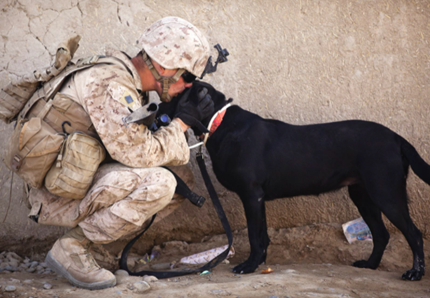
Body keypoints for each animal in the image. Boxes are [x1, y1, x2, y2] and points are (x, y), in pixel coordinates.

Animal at [160, 81, 428, 280]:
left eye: (177, 94)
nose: (156, 104)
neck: (220, 122)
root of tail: (396, 137)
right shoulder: (258, 198)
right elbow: (263, 235)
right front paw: (260, 262)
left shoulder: (251, 195)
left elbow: (254, 236)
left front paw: (249, 266)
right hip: (363, 195)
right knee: (381, 234)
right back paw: (370, 265)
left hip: (386, 192)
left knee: (413, 234)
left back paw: (415, 273)